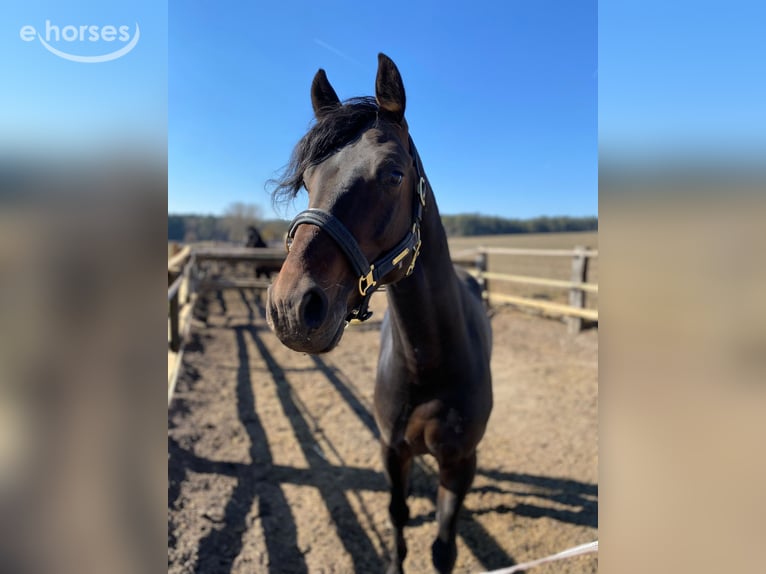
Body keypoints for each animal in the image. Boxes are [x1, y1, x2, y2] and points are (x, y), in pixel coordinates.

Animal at [267, 53, 492, 574]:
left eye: (392, 174)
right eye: (307, 181)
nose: (290, 308)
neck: (429, 362)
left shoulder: (459, 462)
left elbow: (444, 548)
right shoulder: (393, 450)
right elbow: (398, 518)